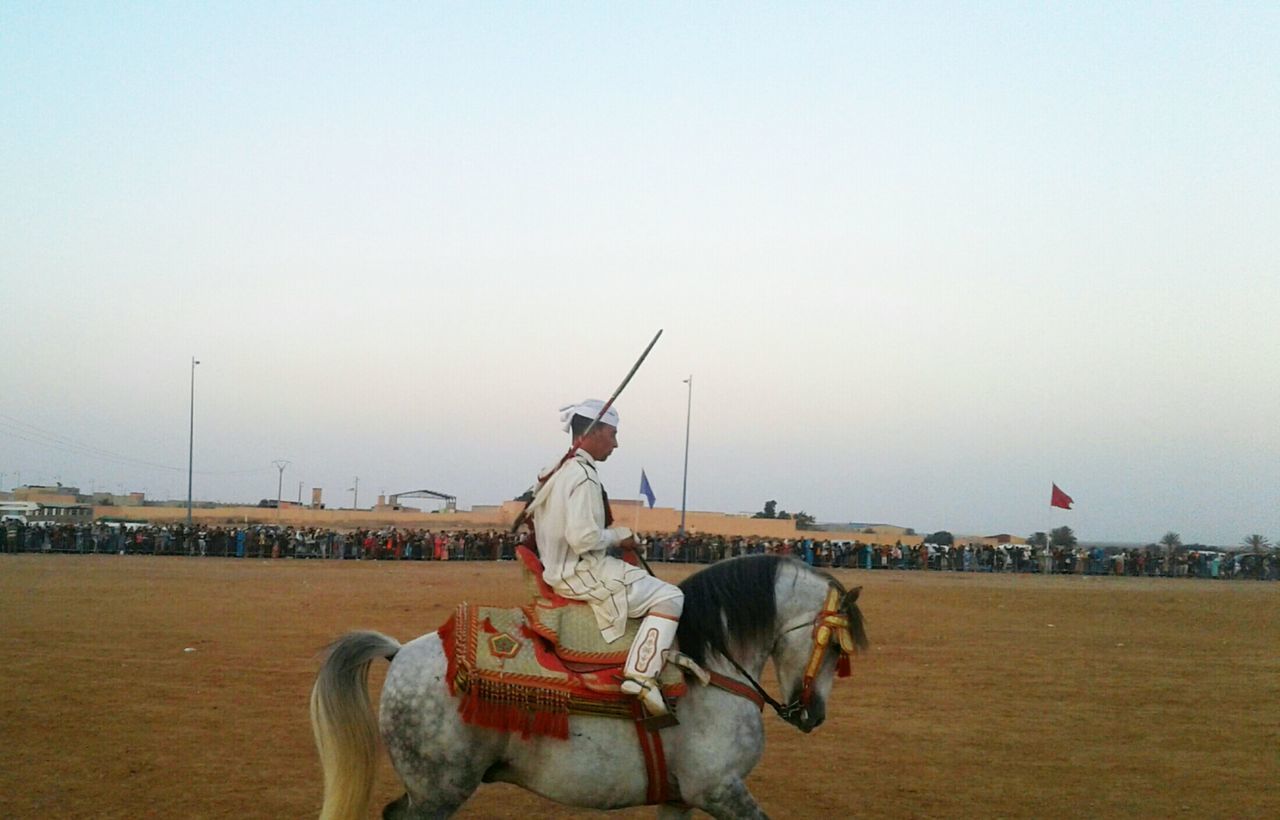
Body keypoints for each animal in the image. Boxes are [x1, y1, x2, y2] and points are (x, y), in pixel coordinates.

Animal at [312, 552, 870, 813]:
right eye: (836, 649)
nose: (813, 714)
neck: (712, 664)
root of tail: (401, 651)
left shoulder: (682, 799)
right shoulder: (720, 790)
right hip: (438, 791)